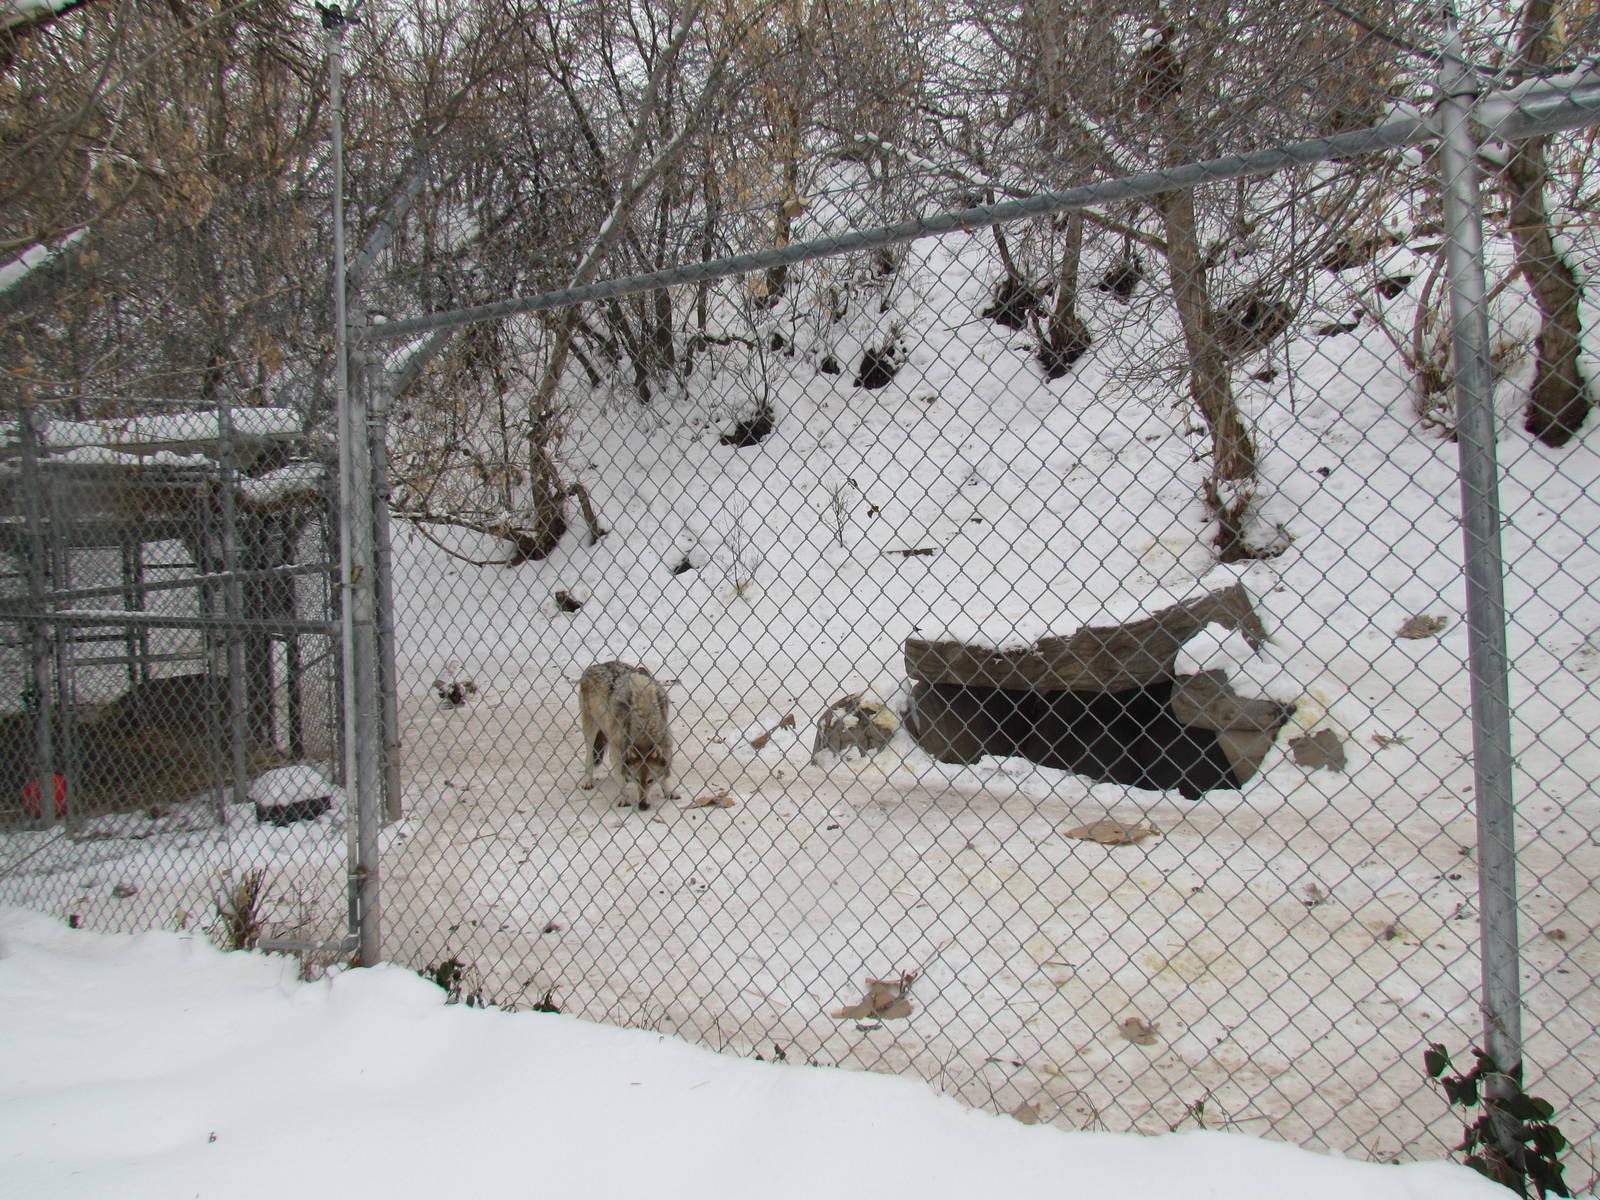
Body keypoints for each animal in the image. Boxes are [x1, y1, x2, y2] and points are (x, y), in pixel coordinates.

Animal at [578, 661, 673, 810]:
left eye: (650, 780)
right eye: (637, 780)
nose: (642, 806)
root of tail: (596, 665)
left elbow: (665, 774)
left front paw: (668, 791)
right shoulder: (616, 748)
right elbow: (619, 775)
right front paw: (623, 798)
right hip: (591, 729)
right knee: (589, 755)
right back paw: (588, 781)